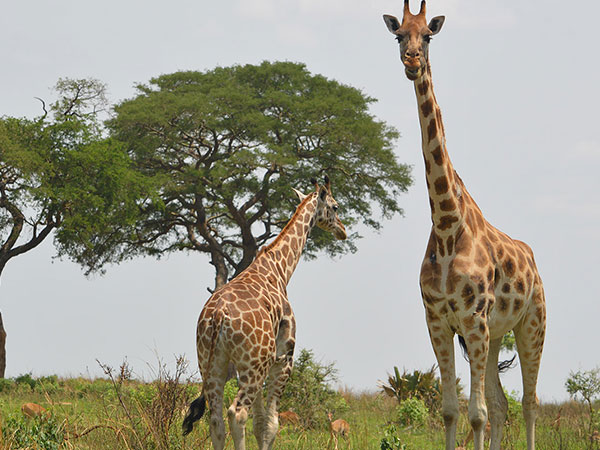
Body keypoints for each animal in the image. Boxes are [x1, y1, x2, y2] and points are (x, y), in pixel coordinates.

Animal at [180, 176, 344, 450]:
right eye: (335, 207)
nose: (343, 230)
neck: (279, 269)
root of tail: (218, 317)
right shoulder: (282, 359)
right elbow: (270, 425)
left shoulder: (254, 365)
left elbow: (259, 424)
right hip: (251, 366)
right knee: (237, 413)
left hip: (213, 364)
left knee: (216, 420)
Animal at [384, 1, 548, 448]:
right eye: (399, 35)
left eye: (428, 35)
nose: (412, 61)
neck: (446, 225)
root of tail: (533, 261)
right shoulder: (439, 321)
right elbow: (452, 410)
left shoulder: (473, 320)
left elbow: (477, 414)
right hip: (495, 336)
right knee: (503, 403)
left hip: (532, 323)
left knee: (529, 403)